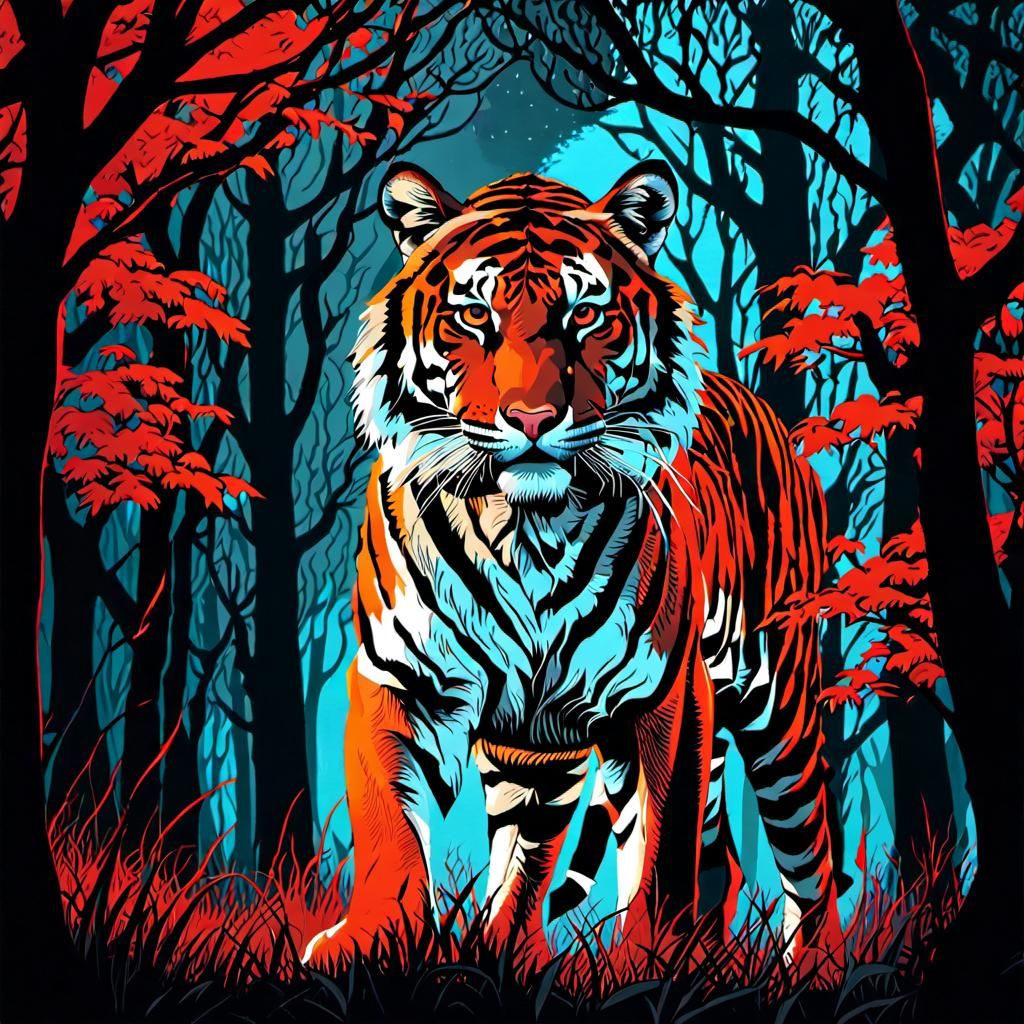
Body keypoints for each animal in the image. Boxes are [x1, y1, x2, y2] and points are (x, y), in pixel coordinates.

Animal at [301, 160, 844, 971]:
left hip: (781, 706)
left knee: (809, 853)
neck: (524, 528)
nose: (531, 419)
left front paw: (648, 965)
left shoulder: (662, 697)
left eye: (585, 315)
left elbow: (661, 852)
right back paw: (516, 955)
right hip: (537, 743)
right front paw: (369, 942)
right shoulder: (401, 678)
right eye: (473, 317)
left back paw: (814, 966)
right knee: (558, 855)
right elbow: (388, 830)